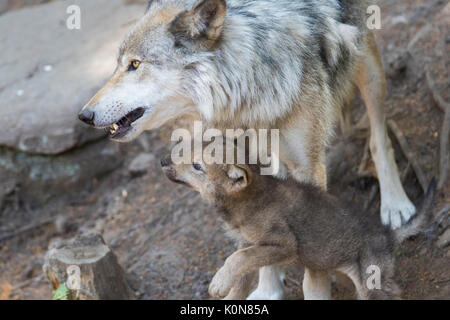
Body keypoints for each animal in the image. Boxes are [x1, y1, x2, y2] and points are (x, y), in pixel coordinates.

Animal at [79, 0, 416, 300]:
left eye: (135, 65)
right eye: (118, 64)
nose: (84, 115)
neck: (248, 88)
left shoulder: (307, 166)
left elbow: (311, 270)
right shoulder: (249, 164)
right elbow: (256, 245)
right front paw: (267, 289)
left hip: (368, 64)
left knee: (379, 136)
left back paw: (395, 204)